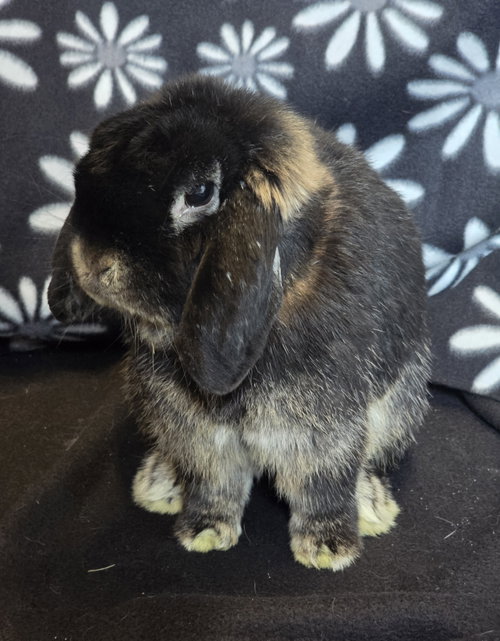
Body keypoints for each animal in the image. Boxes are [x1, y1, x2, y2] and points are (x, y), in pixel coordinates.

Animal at [48, 75, 430, 571]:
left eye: (198, 193)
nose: (92, 262)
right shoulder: (198, 434)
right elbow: (214, 483)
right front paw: (204, 532)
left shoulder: (322, 432)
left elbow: (321, 485)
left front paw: (328, 548)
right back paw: (160, 484)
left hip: (400, 406)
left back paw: (370, 507)